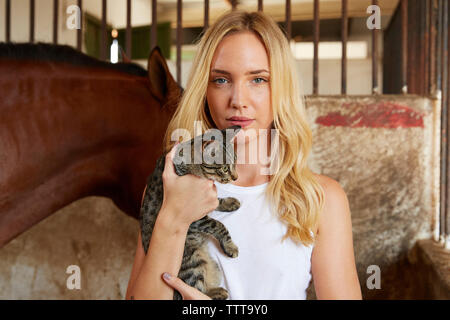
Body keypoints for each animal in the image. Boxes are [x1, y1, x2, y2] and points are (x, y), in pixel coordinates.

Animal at [140, 125, 243, 300]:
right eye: (224, 168)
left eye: (235, 162)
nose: (236, 177)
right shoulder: (196, 218)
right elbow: (218, 225)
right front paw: (230, 246)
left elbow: (216, 201)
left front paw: (229, 202)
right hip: (194, 261)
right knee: (195, 290)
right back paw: (218, 292)